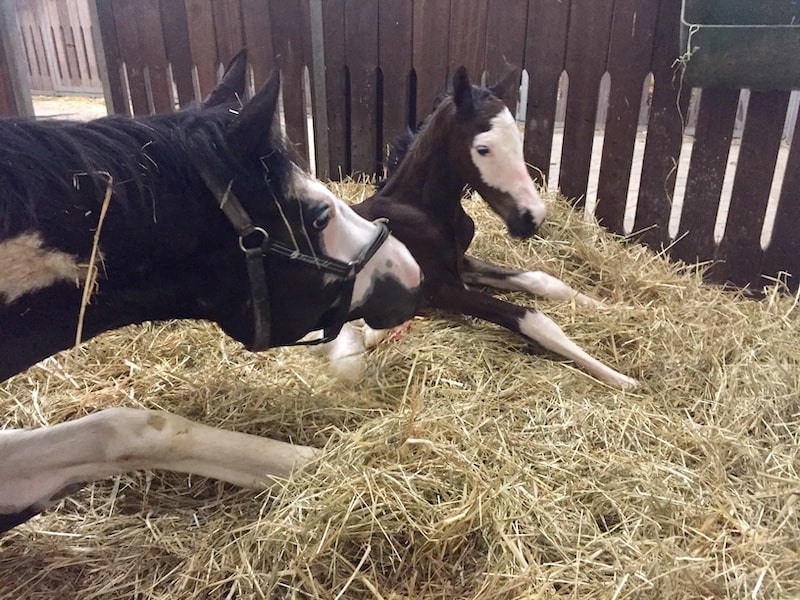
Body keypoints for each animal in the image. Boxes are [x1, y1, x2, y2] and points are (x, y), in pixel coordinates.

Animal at [324, 67, 636, 390]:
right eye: (483, 148)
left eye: (517, 141)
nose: (532, 217)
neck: (423, 211)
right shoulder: (438, 289)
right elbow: (533, 319)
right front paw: (621, 378)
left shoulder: (461, 262)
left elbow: (544, 280)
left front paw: (619, 308)